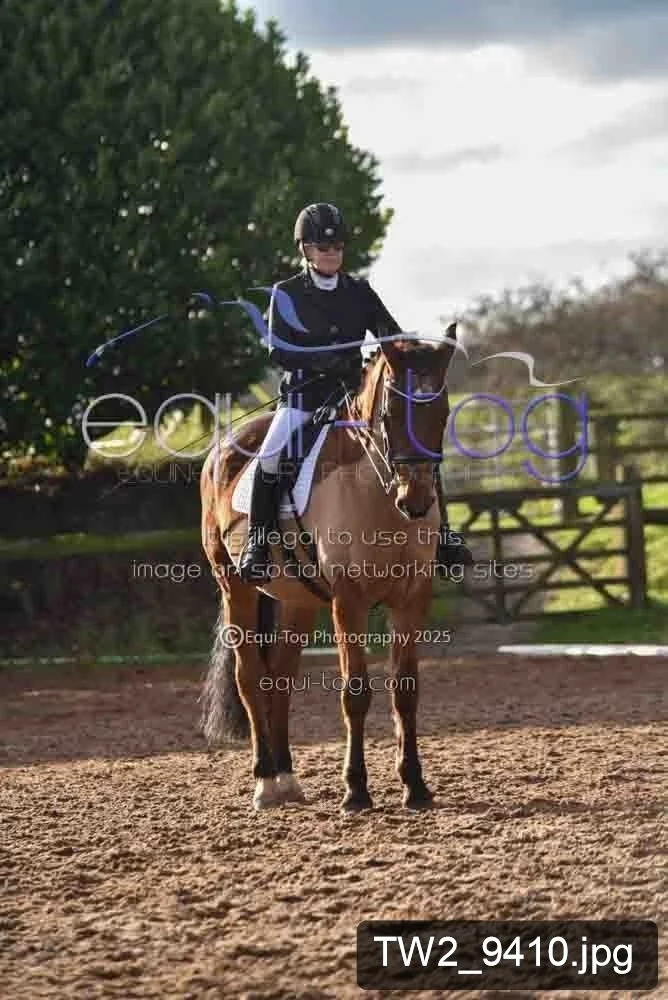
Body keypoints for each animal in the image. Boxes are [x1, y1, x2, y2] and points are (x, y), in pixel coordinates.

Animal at [199, 329, 457, 811]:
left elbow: (405, 690)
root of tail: (222, 449)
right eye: (391, 413)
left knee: (280, 679)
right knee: (250, 677)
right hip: (235, 586)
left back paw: (286, 778)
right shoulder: (349, 599)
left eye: (443, 413)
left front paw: (415, 786)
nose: (415, 503)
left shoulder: (413, 596)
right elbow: (355, 692)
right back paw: (265, 782)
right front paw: (355, 790)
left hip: (297, 600)